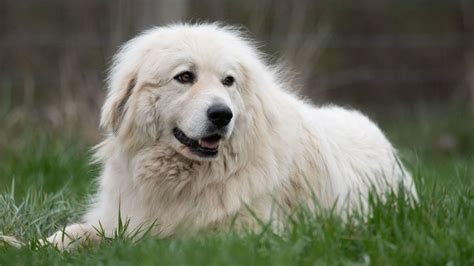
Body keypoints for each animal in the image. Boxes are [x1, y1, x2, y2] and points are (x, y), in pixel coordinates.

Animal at [39, 23, 414, 249]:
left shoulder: (245, 233)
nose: (222, 114)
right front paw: (34, 245)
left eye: (228, 81)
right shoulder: (118, 216)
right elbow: (72, 233)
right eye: (185, 77)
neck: (185, 182)